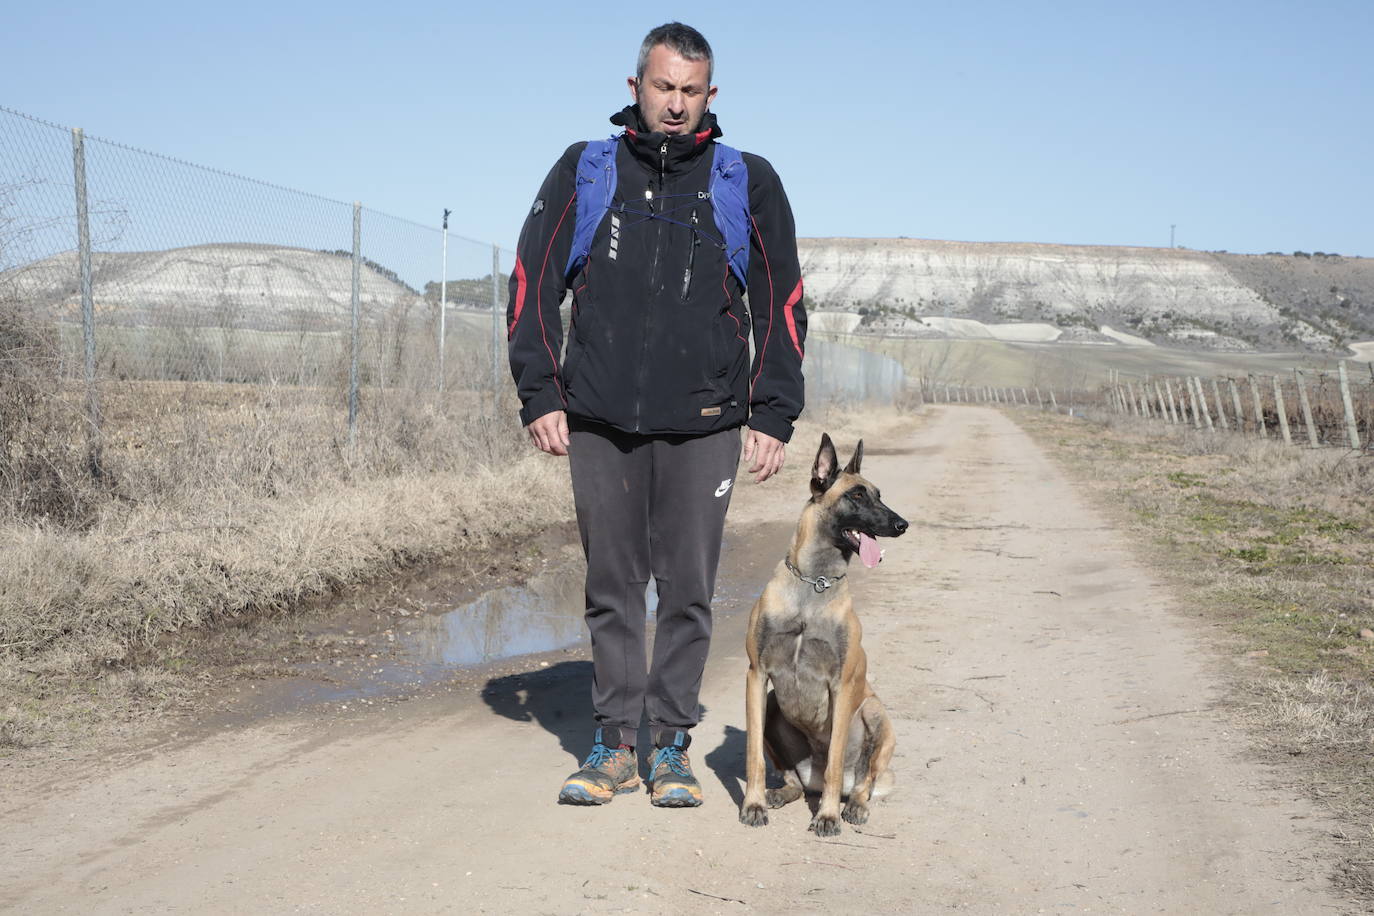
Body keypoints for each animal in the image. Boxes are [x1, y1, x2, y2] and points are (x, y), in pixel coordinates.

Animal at [741, 433, 901, 834]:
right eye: (857, 495)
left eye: (878, 494)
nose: (902, 524)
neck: (814, 584)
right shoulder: (757, 677)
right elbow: (754, 757)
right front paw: (753, 804)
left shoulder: (841, 686)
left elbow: (834, 763)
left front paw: (827, 815)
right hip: (772, 704)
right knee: (795, 781)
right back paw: (779, 793)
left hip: (875, 713)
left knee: (862, 780)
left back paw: (853, 805)